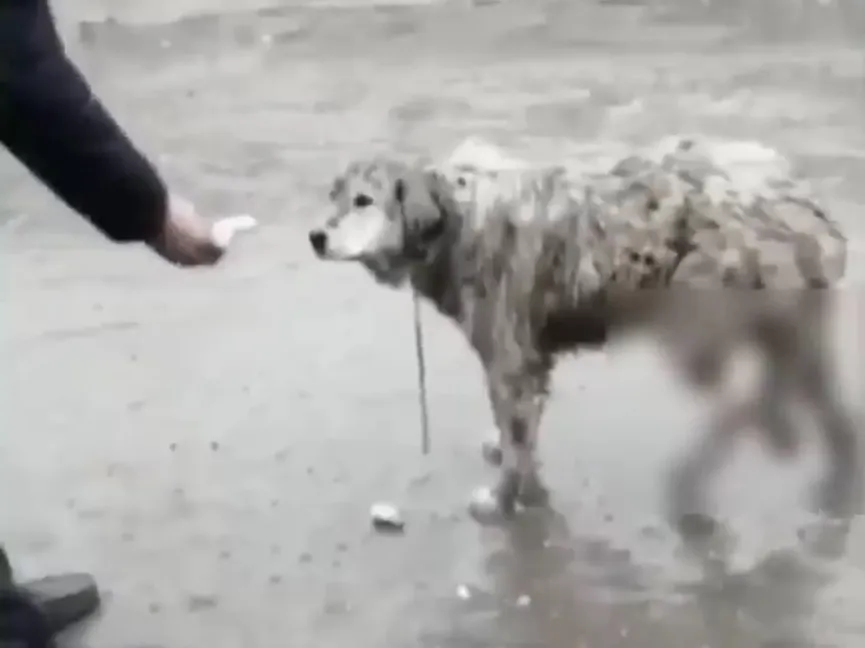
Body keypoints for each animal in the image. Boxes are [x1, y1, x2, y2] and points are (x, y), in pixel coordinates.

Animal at [308, 138, 856, 536]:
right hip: (785, 332)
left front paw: (502, 499)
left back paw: (702, 471)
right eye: (333, 196)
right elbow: (519, 429)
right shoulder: (529, 357)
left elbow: (516, 436)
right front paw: (511, 462)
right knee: (821, 405)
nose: (315, 236)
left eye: (363, 201)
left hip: (701, 326)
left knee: (743, 404)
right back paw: (832, 471)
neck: (454, 218)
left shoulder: (509, 353)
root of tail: (801, 199)